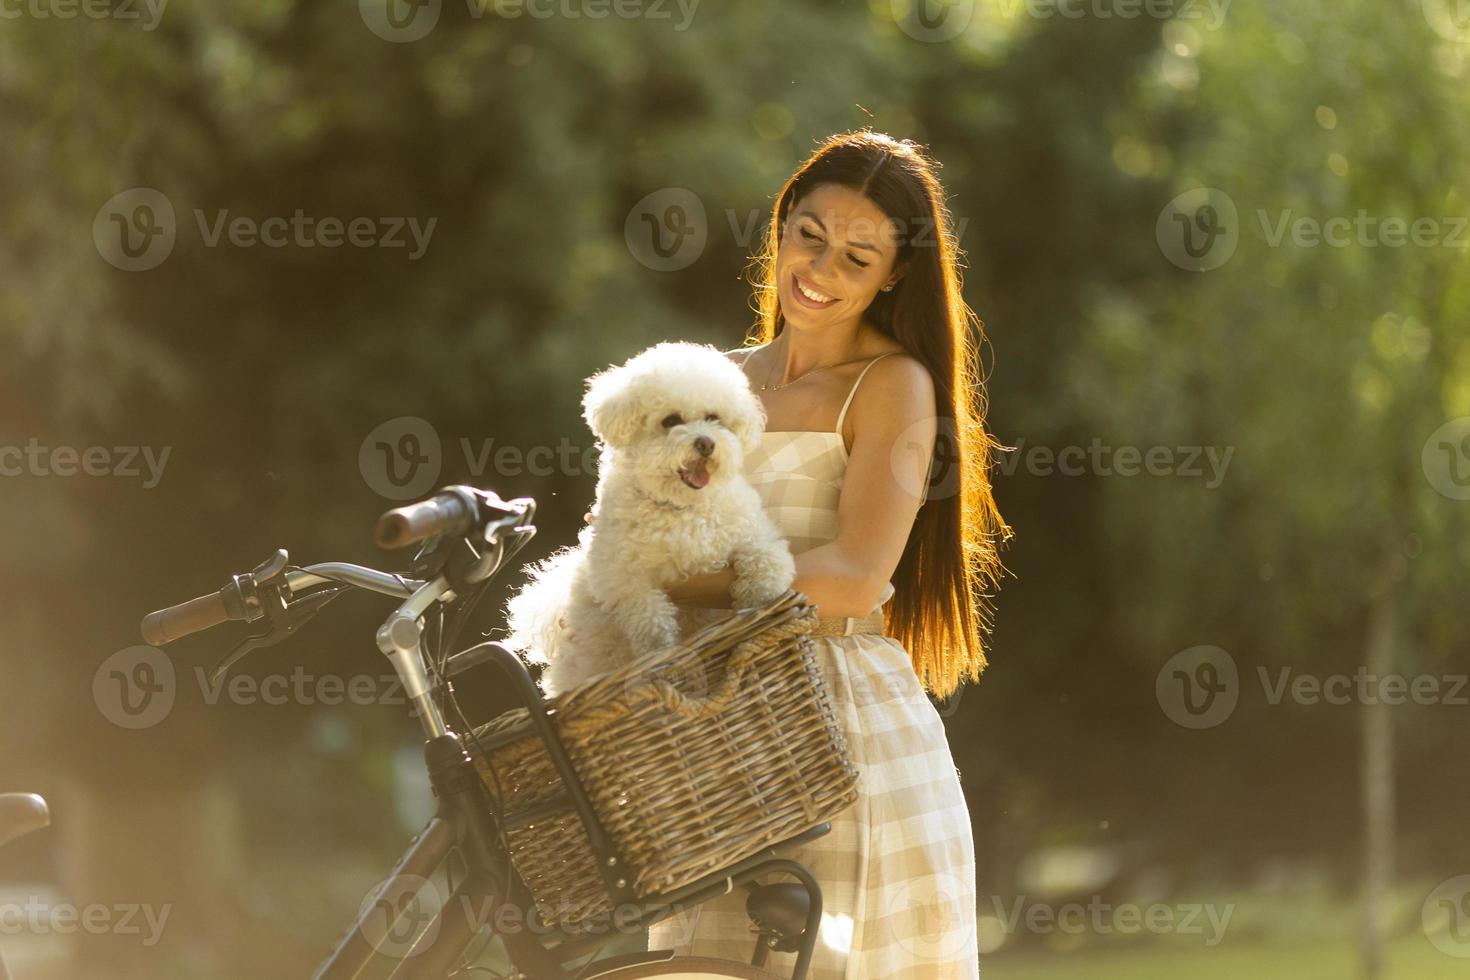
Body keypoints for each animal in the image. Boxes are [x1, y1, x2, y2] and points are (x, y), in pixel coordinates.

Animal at [502, 343, 793, 696]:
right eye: (671, 420)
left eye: (713, 418)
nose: (706, 442)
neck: (679, 508)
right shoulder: (623, 577)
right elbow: (649, 617)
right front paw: (663, 652)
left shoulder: (756, 535)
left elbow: (766, 561)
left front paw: (758, 600)